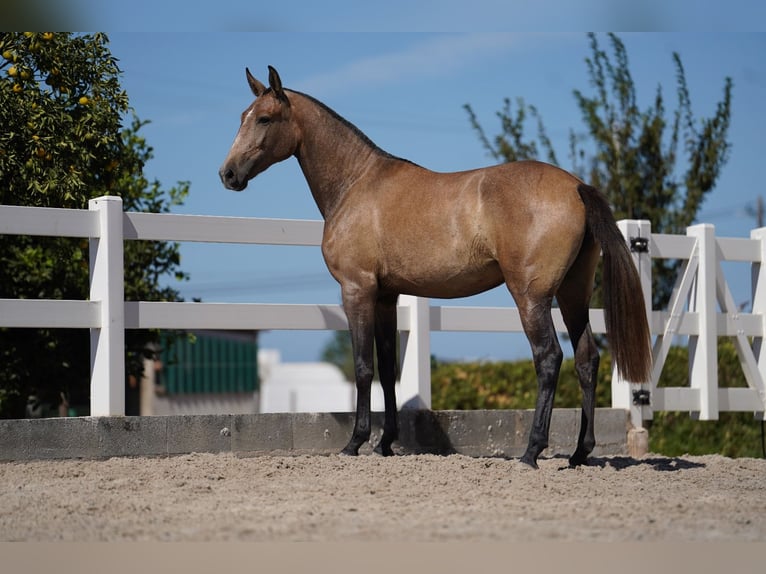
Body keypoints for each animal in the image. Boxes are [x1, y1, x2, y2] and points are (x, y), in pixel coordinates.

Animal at [219, 65, 652, 470]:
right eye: (242, 115)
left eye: (264, 118)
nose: (228, 174)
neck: (355, 183)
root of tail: (577, 187)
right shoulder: (386, 296)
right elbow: (387, 368)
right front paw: (385, 443)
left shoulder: (357, 289)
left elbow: (363, 367)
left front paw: (355, 443)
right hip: (572, 294)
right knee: (587, 359)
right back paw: (580, 453)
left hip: (532, 296)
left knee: (548, 358)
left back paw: (531, 452)